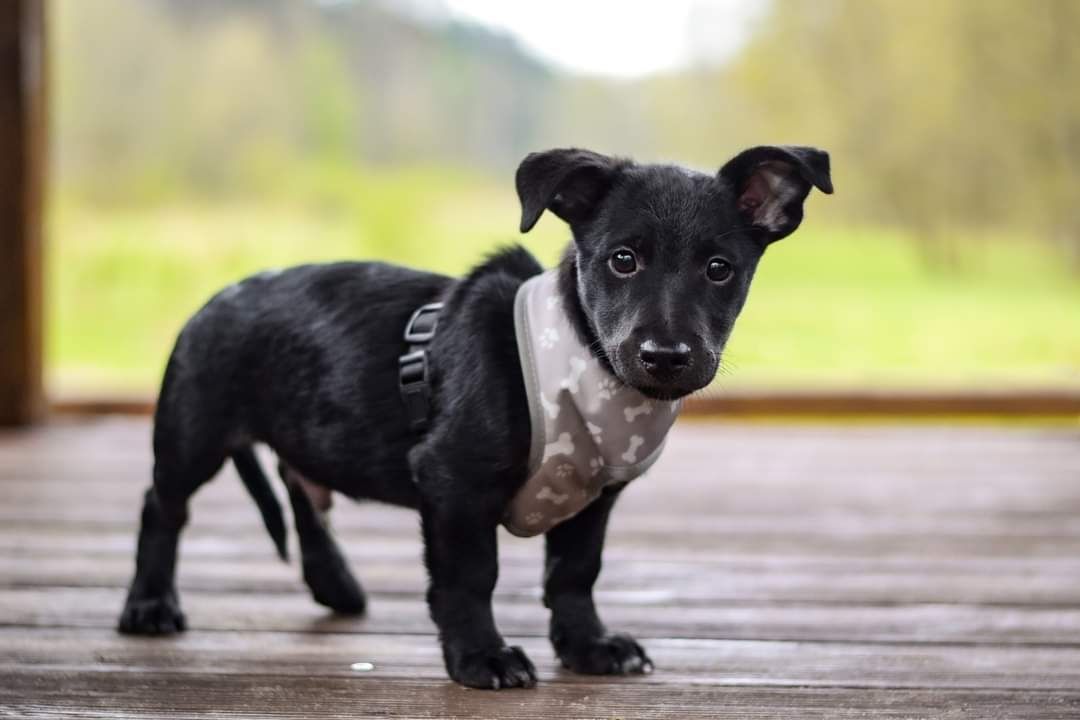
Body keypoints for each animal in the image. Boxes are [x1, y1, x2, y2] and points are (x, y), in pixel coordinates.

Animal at [118, 144, 829, 686]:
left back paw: (336, 584)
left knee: (301, 490)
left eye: (720, 269)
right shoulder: (453, 484)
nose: (666, 356)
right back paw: (150, 605)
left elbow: (575, 574)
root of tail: (216, 296)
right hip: (192, 430)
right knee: (163, 506)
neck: (583, 359)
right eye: (622, 260)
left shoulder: (593, 495)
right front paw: (481, 658)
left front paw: (588, 647)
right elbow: (469, 577)